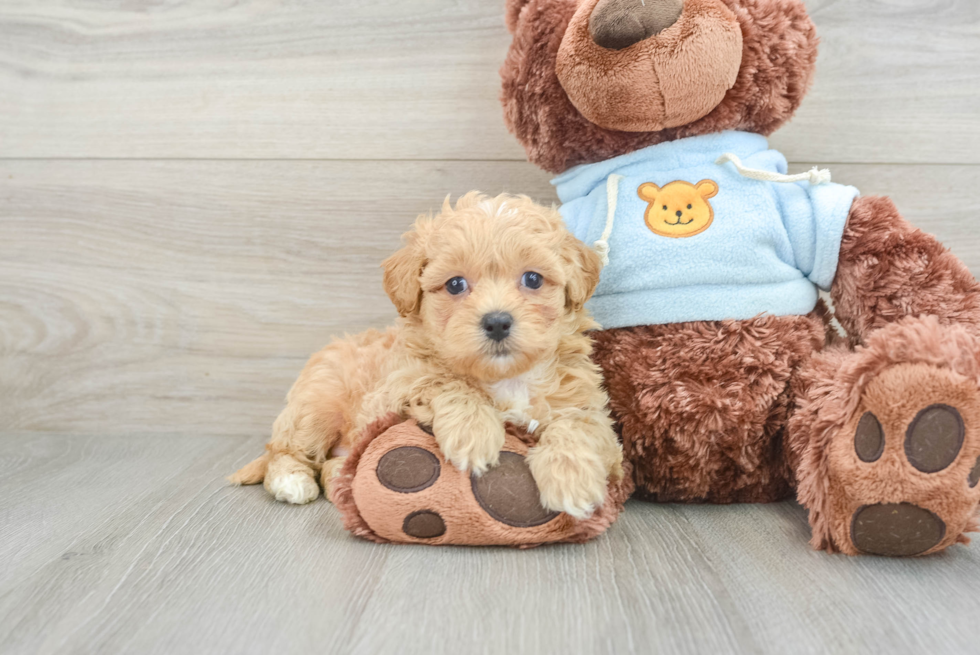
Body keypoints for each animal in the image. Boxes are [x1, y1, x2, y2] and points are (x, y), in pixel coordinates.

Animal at [230, 192, 620, 520]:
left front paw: (573, 478)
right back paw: (292, 480)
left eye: (533, 279)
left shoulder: (592, 411)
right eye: (455, 284)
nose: (497, 322)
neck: (506, 379)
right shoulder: (396, 388)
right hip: (318, 404)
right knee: (284, 450)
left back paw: (341, 474)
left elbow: (578, 425)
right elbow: (444, 381)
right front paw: (473, 433)